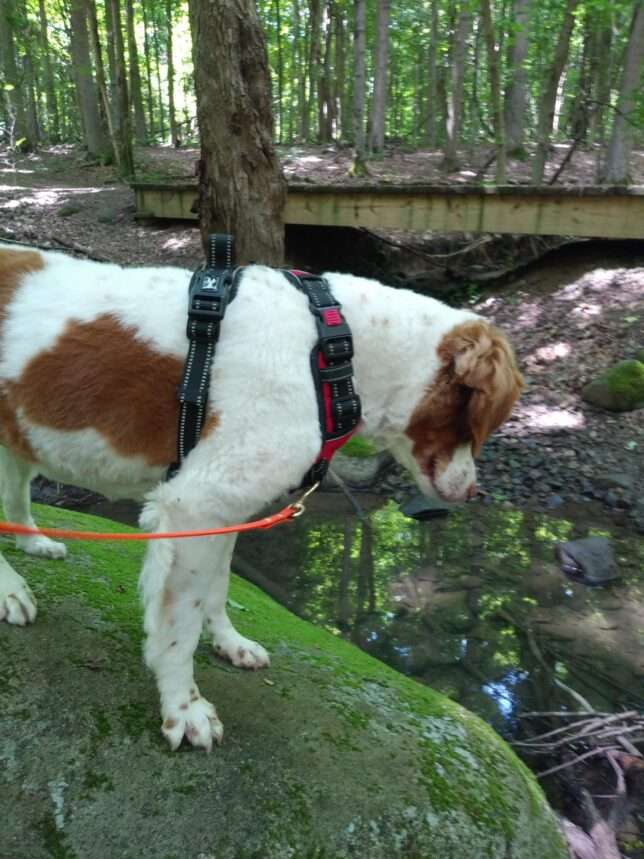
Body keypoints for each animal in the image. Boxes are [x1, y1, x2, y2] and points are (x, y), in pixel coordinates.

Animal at [0, 244, 524, 752]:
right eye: (482, 423)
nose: (472, 490)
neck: (331, 350)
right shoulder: (195, 506)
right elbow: (179, 627)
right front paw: (184, 707)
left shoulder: (227, 510)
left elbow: (216, 588)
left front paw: (229, 642)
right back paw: (11, 590)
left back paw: (33, 543)